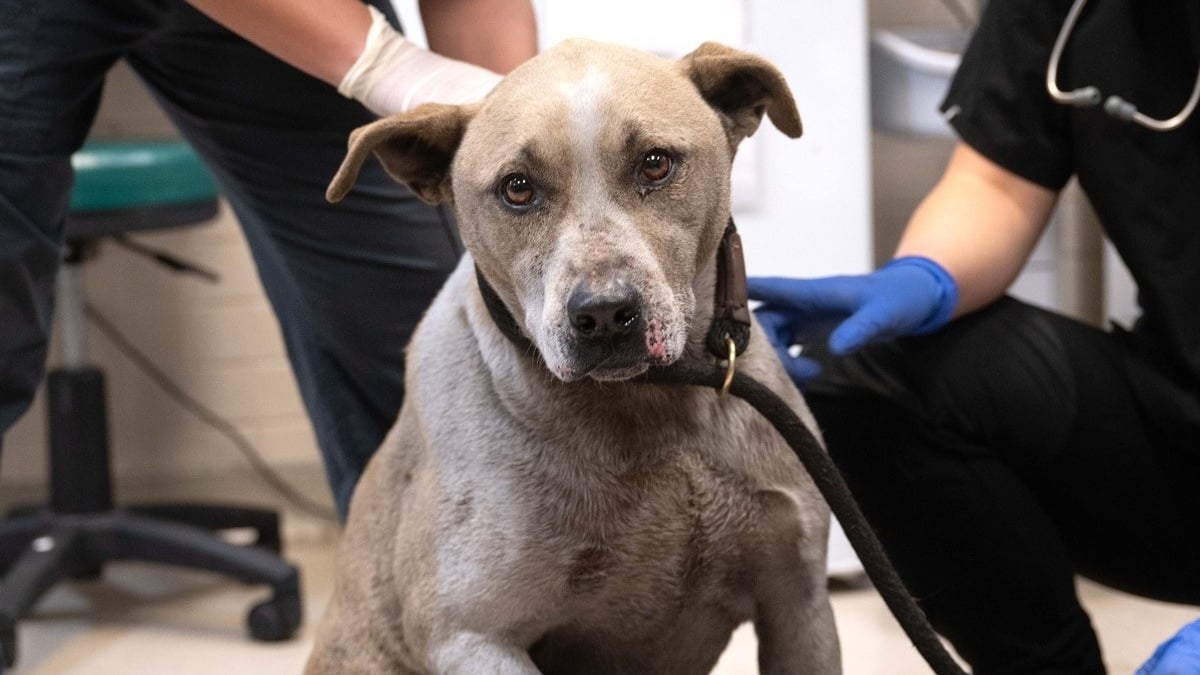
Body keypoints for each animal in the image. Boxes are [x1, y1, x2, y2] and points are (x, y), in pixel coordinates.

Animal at [304, 38, 840, 672]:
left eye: (655, 163)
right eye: (517, 188)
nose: (604, 314)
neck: (648, 406)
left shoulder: (799, 603)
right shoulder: (470, 634)